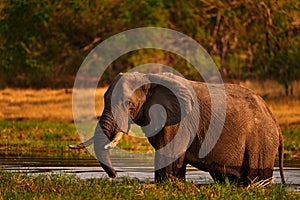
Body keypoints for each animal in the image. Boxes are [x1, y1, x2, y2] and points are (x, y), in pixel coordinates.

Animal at [69, 72, 284, 184]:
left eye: (128, 104)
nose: (114, 175)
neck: (150, 78)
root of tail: (276, 123)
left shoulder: (178, 122)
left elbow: (169, 153)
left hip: (261, 143)